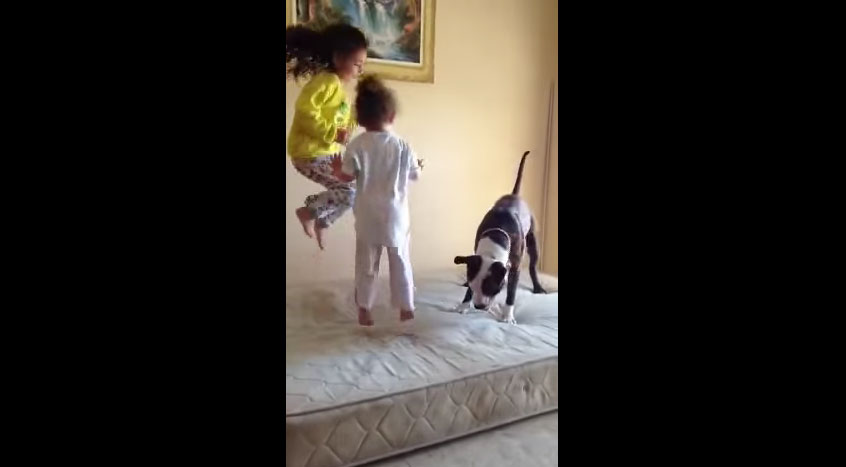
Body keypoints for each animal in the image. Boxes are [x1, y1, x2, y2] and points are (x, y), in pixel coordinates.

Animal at [454, 151, 547, 324]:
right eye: (473, 286)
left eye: (492, 288)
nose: (479, 306)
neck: (495, 239)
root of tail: (514, 195)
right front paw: (464, 305)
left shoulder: (515, 267)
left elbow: (511, 293)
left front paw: (508, 316)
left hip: (533, 242)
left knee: (532, 266)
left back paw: (537, 287)